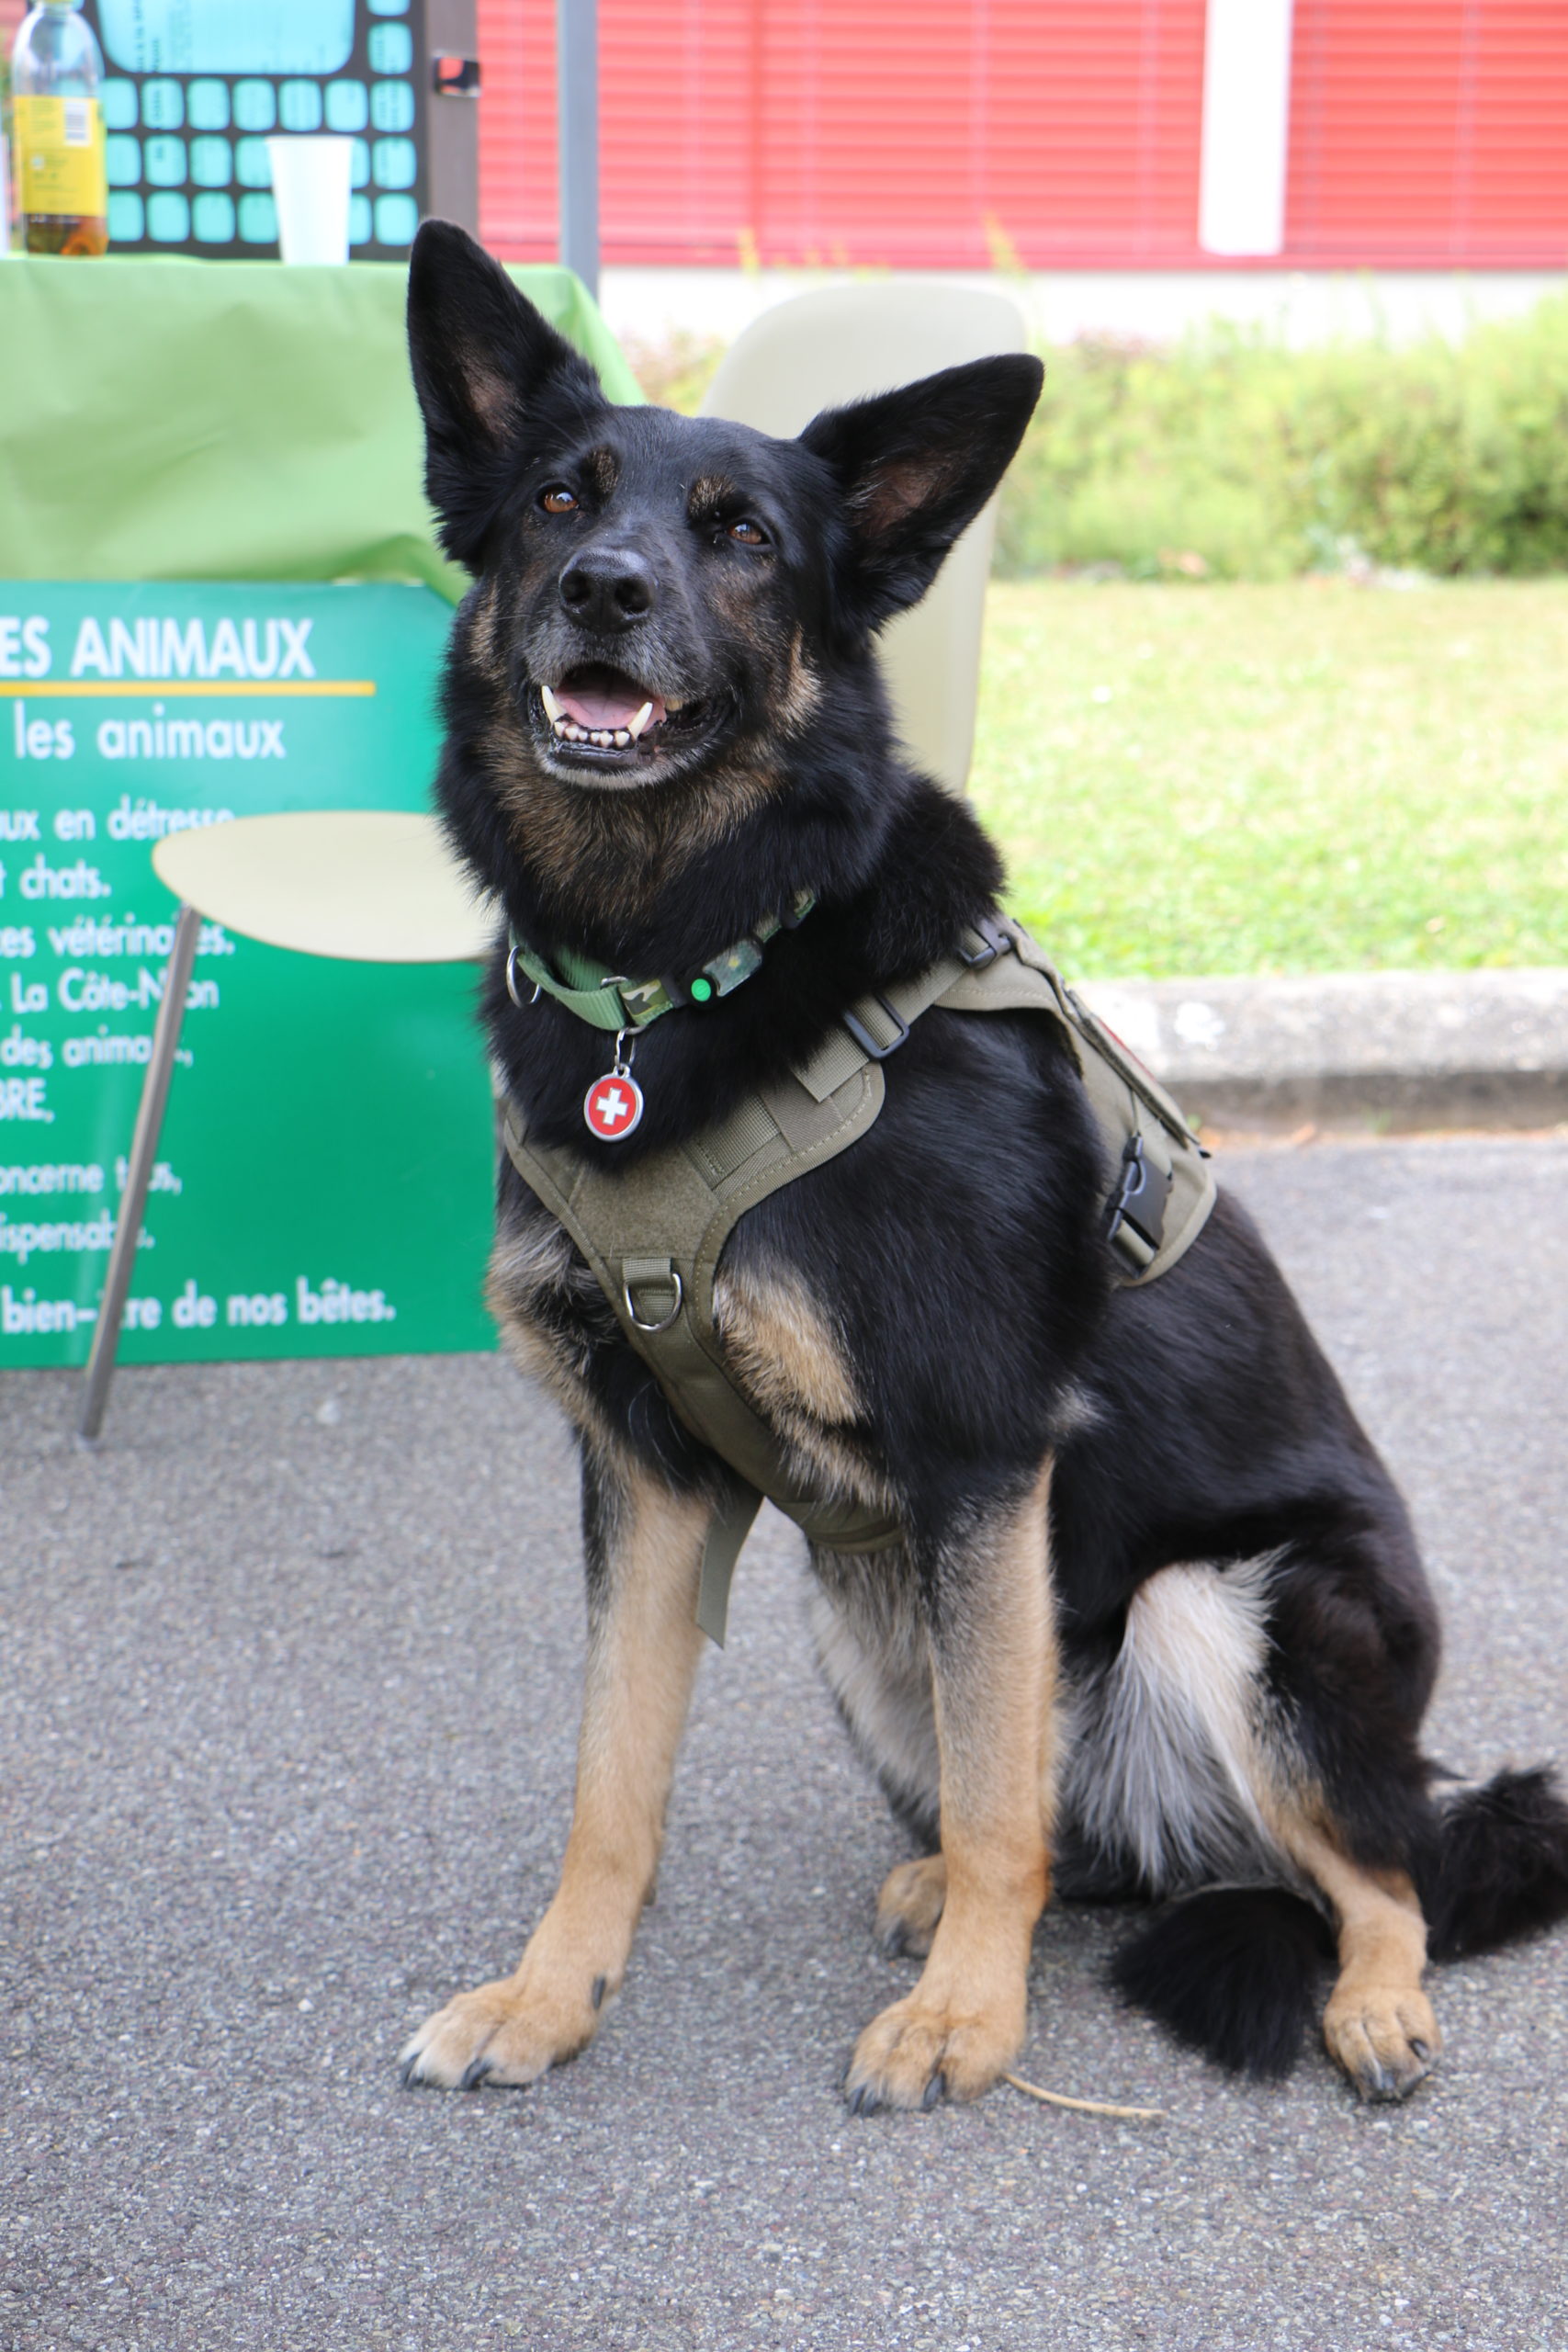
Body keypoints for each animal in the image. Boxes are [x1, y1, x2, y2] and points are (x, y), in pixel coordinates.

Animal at [397, 220, 1568, 2111]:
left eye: (743, 537)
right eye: (559, 502)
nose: (604, 591)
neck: (677, 965)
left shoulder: (978, 1458)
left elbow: (1001, 1789)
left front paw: (966, 2023)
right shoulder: (646, 1479)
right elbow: (609, 1786)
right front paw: (547, 1997)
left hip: (1226, 1610)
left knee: (1377, 1867)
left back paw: (1367, 1996)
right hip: (859, 1608)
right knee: (1065, 1824)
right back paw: (942, 1886)